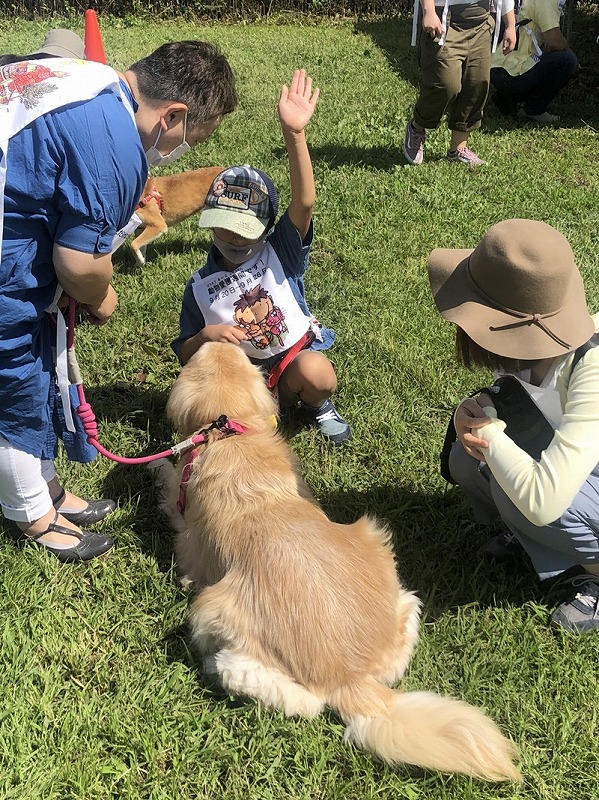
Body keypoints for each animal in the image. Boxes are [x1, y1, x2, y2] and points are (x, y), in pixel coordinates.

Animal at [157, 344, 524, 780]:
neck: (232, 432)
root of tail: (353, 679)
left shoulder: (185, 525)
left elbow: (167, 481)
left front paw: (154, 466)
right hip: (385, 559)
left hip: (214, 619)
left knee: (295, 699)